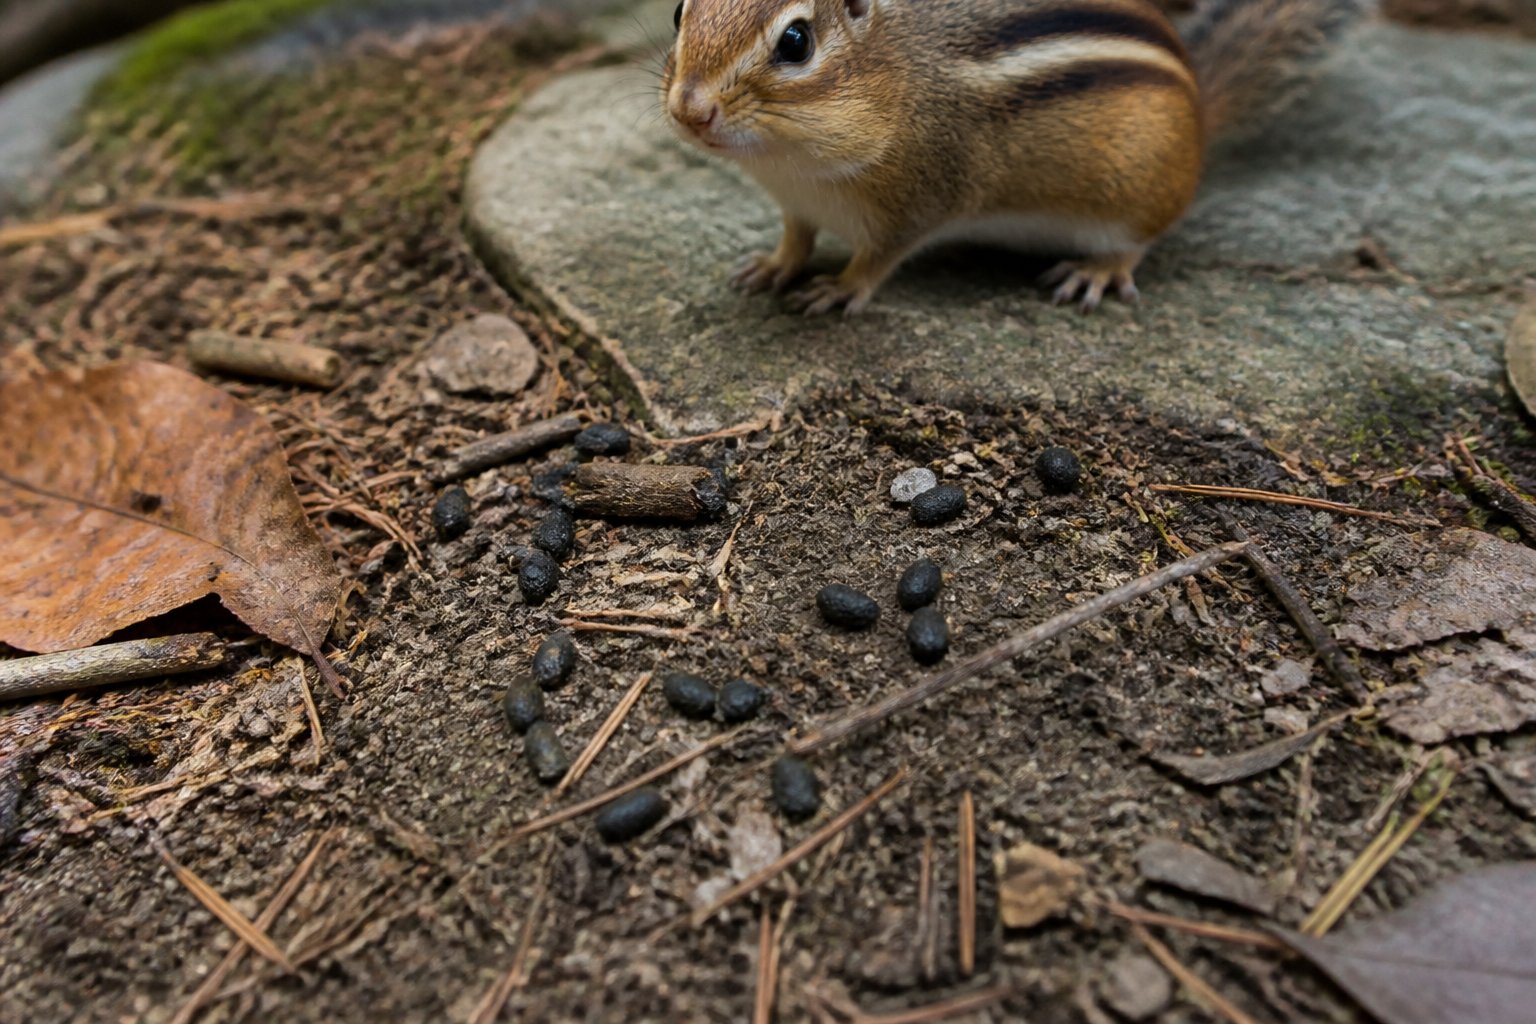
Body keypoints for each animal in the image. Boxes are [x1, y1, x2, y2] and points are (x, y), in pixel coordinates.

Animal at [661, 0, 1364, 314]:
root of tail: (1198, 104)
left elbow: (877, 260)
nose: (689, 110)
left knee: (1140, 241)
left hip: (1135, 196)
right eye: (677, 11)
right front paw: (773, 266)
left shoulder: (923, 199)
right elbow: (797, 238)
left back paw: (1098, 271)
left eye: (796, 42)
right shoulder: (796, 205)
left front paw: (839, 287)